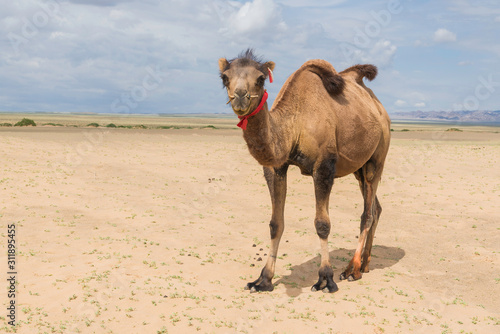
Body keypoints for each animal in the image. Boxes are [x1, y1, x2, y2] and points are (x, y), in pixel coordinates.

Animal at [218, 49, 390, 292]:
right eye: (225, 78)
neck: (294, 124)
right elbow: (275, 224)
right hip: (359, 166)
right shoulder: (276, 167)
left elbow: (322, 224)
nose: (240, 96)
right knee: (376, 207)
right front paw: (263, 280)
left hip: (378, 156)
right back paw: (365, 264)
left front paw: (326, 279)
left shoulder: (324, 166)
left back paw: (352, 269)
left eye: (260, 79)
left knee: (368, 212)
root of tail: (379, 107)